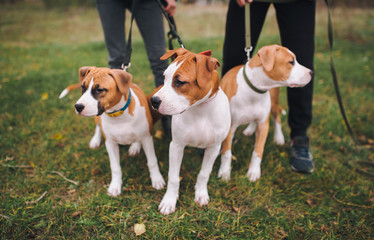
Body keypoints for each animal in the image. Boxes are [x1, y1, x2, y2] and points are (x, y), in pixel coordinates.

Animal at [60, 67, 164, 197]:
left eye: (99, 89)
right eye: (83, 87)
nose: (78, 106)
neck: (118, 115)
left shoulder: (147, 138)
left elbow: (152, 161)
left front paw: (157, 179)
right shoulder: (110, 143)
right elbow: (115, 167)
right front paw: (115, 186)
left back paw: (134, 147)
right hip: (97, 119)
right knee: (98, 127)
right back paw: (95, 140)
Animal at [150, 48, 231, 216]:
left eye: (180, 82)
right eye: (164, 77)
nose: (154, 101)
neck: (199, 109)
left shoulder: (213, 148)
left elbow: (204, 173)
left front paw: (201, 194)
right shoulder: (176, 146)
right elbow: (173, 177)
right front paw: (169, 201)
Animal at [218, 44, 314, 182]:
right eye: (291, 62)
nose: (311, 72)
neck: (255, 90)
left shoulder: (263, 125)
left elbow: (258, 151)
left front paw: (253, 172)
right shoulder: (230, 127)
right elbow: (227, 152)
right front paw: (225, 172)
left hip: (273, 103)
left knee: (276, 117)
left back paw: (278, 137)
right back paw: (250, 130)